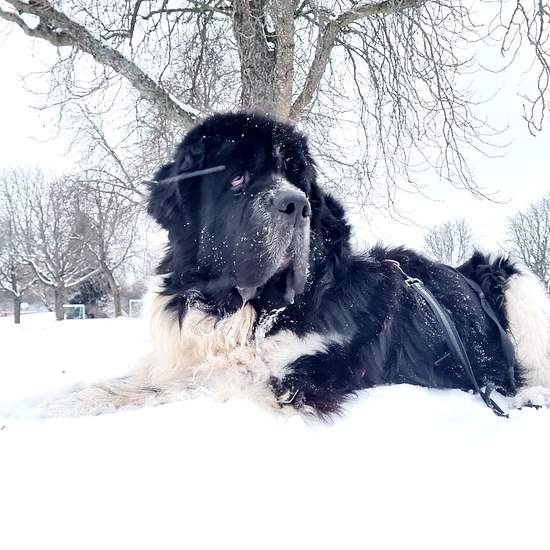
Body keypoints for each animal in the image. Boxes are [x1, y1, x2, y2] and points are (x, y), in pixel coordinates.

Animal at [42, 112, 550, 417]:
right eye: (238, 178)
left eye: (298, 180)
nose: (297, 204)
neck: (243, 310)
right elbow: (145, 377)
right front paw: (65, 395)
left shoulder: (295, 379)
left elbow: (189, 385)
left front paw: (72, 406)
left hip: (519, 286)